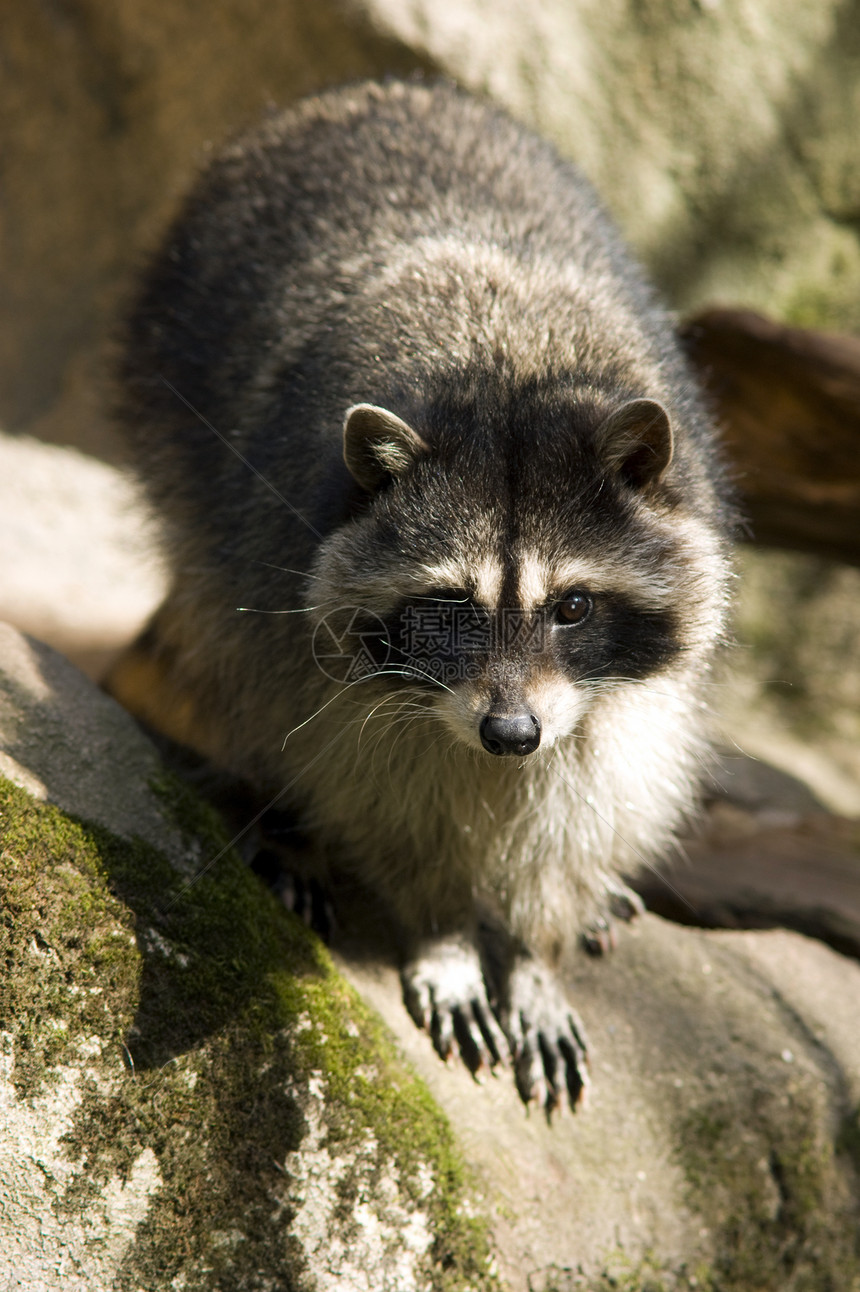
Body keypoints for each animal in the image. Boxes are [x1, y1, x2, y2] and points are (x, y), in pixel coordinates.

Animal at [109, 78, 728, 1111]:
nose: (508, 734)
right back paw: (275, 810)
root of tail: (367, 91)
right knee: (227, 650)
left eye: (572, 607)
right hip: (175, 416)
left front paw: (533, 947)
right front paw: (441, 927)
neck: (511, 372)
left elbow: (590, 792)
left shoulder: (617, 691)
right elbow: (372, 779)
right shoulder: (284, 567)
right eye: (452, 607)